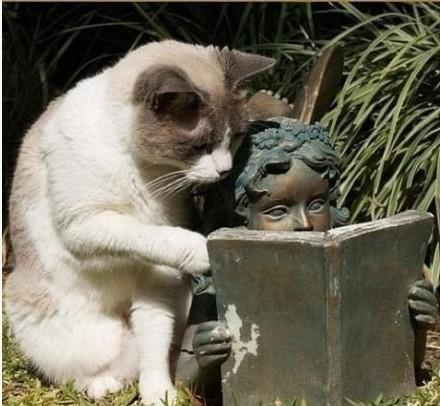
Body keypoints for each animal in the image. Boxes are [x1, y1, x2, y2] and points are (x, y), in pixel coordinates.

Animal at [5, 40, 275, 405]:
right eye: (200, 146)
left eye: (234, 138)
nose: (224, 170)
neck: (150, 171)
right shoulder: (84, 223)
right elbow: (149, 234)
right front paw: (201, 249)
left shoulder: (156, 276)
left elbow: (154, 342)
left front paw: (159, 393)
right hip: (68, 326)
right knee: (86, 369)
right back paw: (102, 386)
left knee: (149, 350)